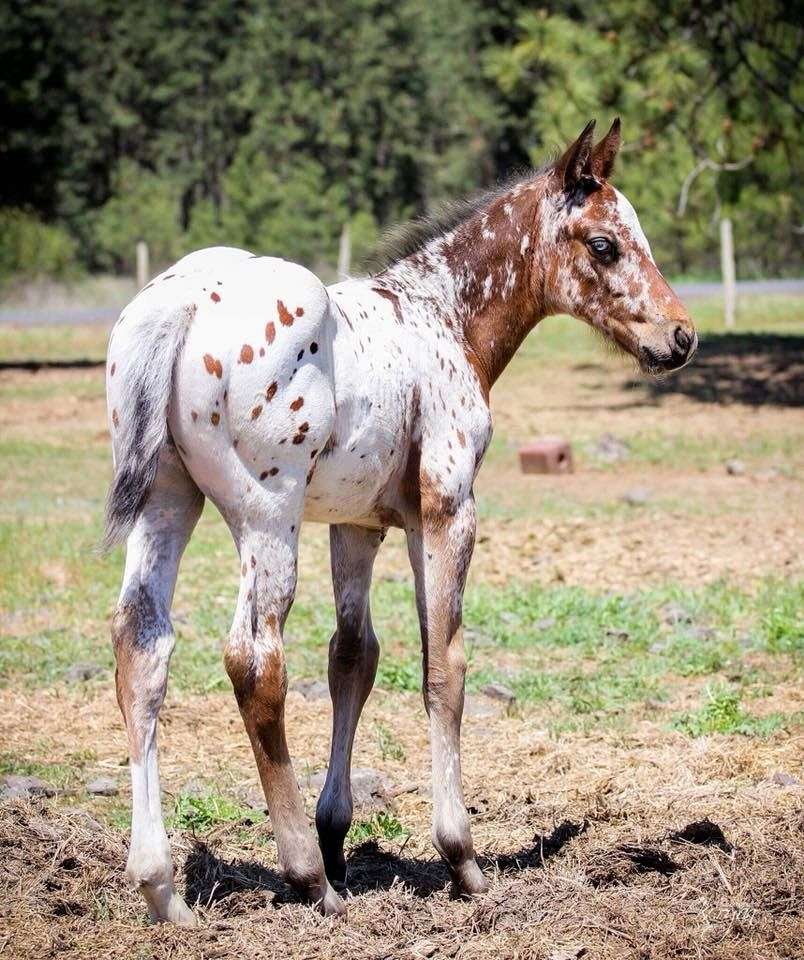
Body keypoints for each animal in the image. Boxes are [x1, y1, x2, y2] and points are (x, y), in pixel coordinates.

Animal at [105, 120, 696, 924]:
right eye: (604, 244)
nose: (680, 336)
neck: (441, 317)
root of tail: (183, 303)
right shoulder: (445, 508)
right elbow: (443, 665)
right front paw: (460, 858)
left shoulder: (354, 525)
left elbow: (353, 657)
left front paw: (338, 836)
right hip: (267, 515)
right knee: (255, 660)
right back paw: (306, 878)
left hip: (168, 500)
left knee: (142, 647)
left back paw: (164, 889)